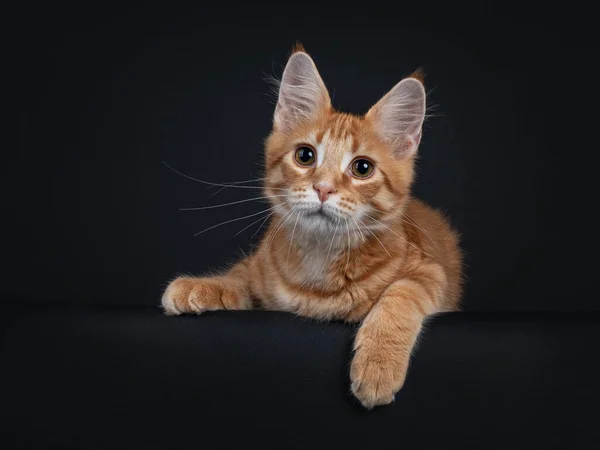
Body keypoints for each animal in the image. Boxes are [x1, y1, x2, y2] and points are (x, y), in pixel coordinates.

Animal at [163, 44, 464, 408]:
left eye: (362, 168)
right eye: (305, 156)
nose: (323, 188)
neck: (319, 259)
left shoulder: (431, 273)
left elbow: (401, 293)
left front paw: (378, 364)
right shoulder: (262, 270)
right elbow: (239, 276)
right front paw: (200, 286)